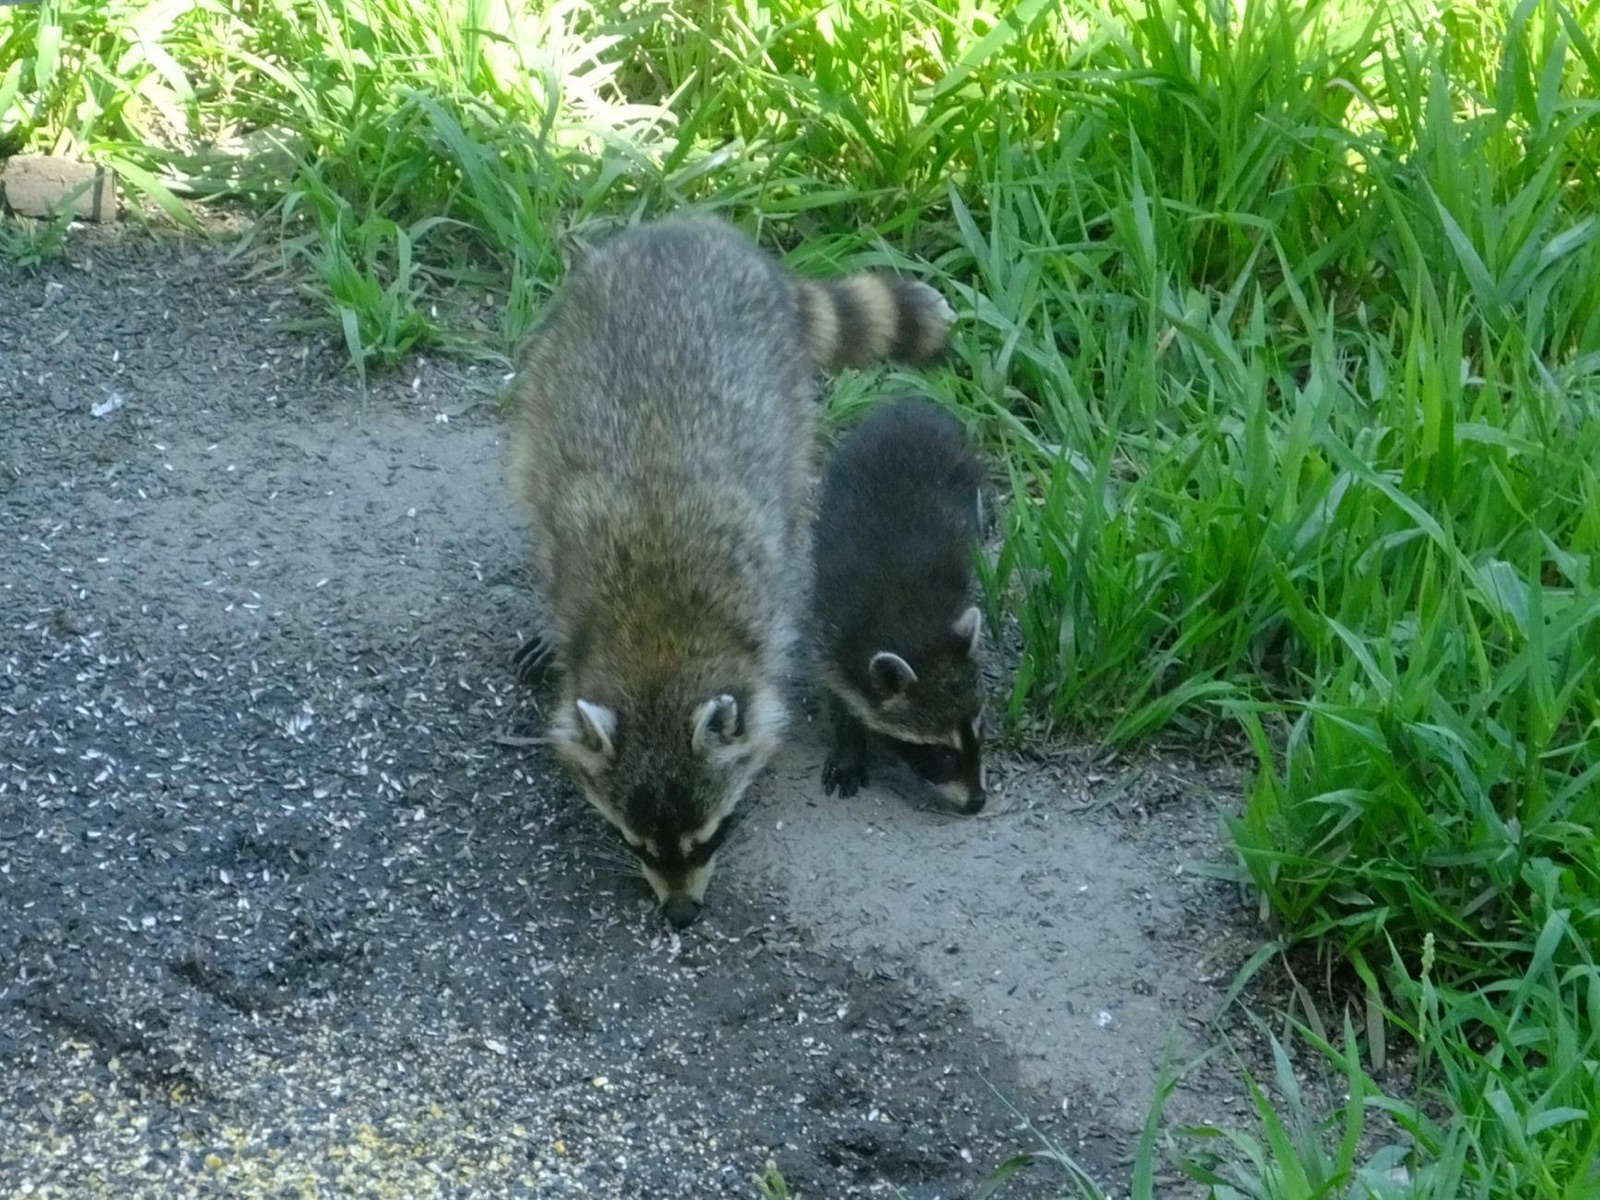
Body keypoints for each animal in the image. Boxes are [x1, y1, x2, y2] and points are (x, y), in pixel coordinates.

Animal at [508, 216, 954, 927]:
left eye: (712, 834)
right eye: (632, 841)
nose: (681, 915)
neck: (657, 639)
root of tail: (689, 230)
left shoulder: (766, 590)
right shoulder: (570, 565)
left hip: (787, 393)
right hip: (553, 365)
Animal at [812, 398, 991, 814]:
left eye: (979, 729)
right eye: (941, 751)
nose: (978, 802)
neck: (911, 623)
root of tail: (910, 404)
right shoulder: (833, 631)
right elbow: (838, 697)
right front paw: (848, 749)